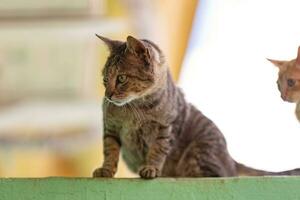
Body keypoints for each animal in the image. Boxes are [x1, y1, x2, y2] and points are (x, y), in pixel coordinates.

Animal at [92, 35, 298, 178]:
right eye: (105, 79)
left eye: (121, 78)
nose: (107, 95)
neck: (134, 108)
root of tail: (231, 160)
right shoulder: (110, 128)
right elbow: (110, 151)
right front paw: (106, 170)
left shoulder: (165, 129)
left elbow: (157, 151)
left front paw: (151, 168)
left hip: (198, 153)